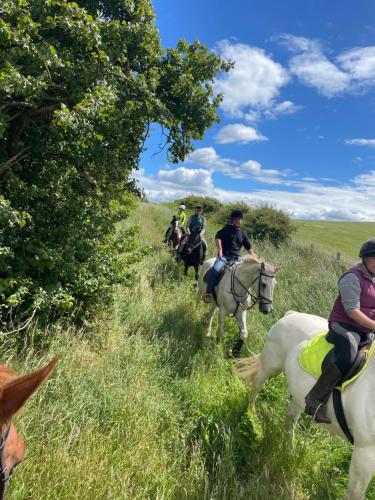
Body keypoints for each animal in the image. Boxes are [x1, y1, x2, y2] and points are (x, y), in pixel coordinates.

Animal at [236, 310, 375, 498]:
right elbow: (355, 493)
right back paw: (251, 417)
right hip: (270, 365)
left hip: (299, 395)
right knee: (256, 386)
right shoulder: (365, 452)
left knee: (290, 417)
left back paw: (289, 450)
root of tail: (291, 314)